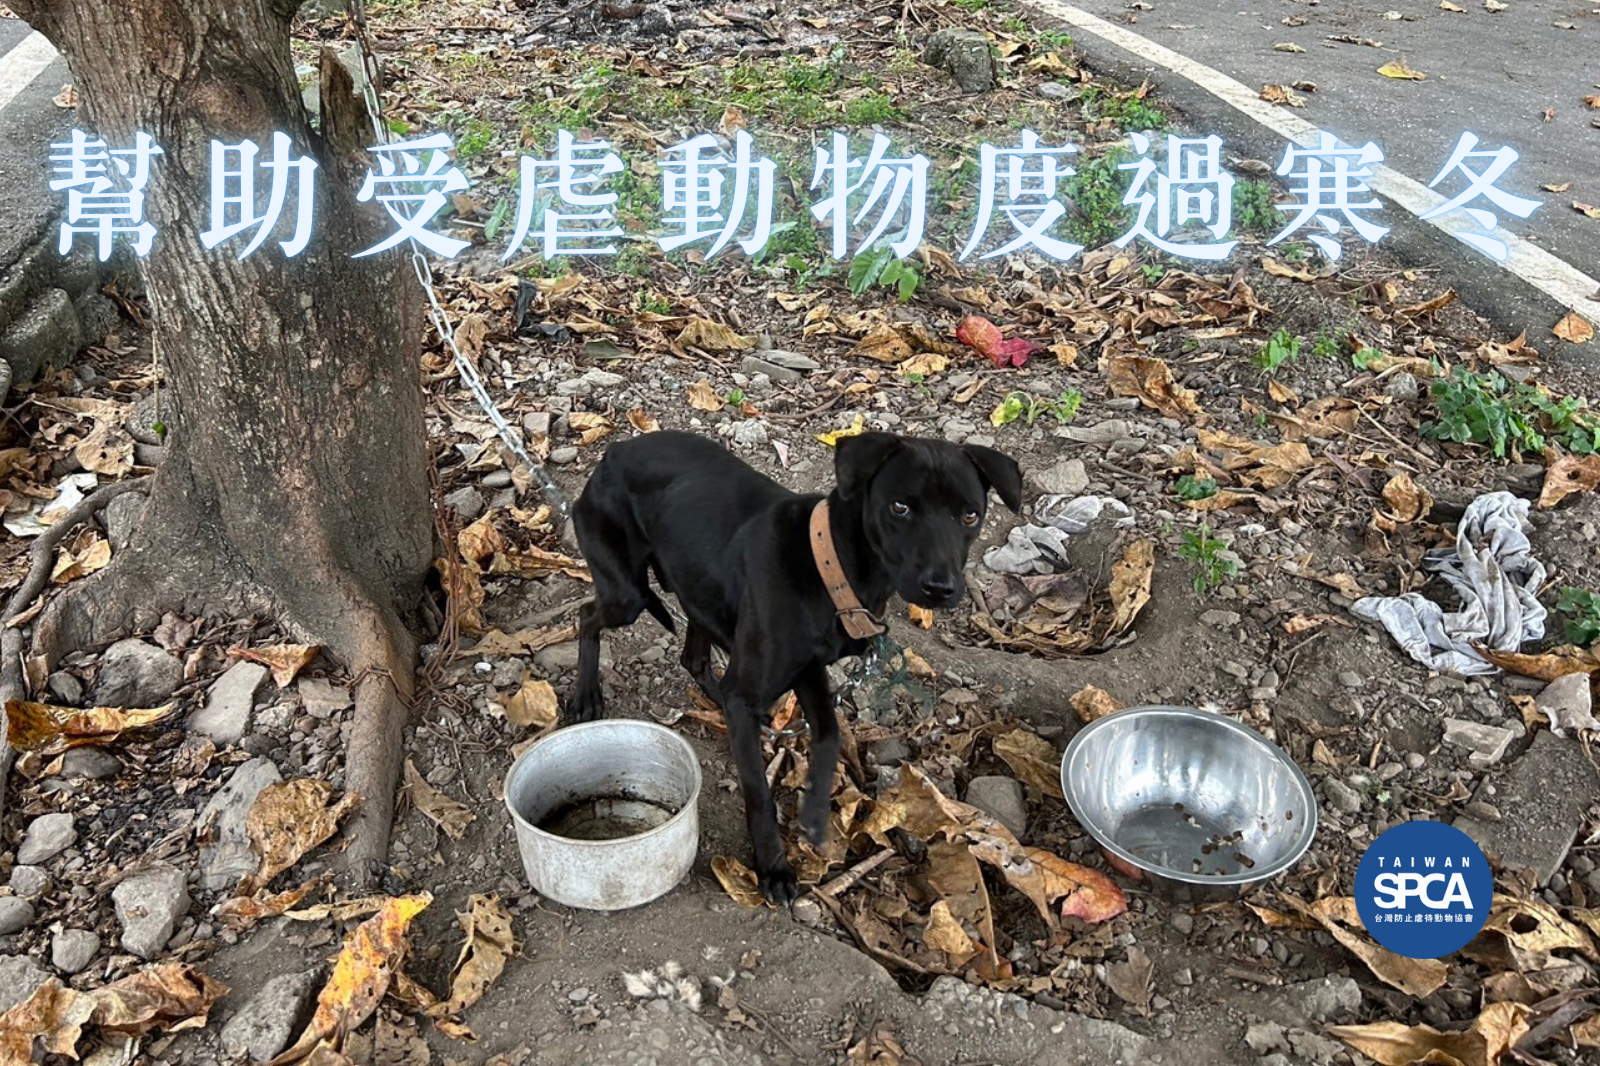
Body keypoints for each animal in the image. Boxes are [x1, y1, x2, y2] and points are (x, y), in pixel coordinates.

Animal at [563, 428, 1017, 902]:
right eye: (900, 507)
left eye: (969, 515)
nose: (941, 588)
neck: (827, 565)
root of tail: (614, 451)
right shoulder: (774, 682)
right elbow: (758, 792)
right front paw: (773, 867)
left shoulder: (808, 672)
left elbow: (830, 735)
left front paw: (815, 814)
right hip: (627, 595)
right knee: (588, 616)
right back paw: (586, 696)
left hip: (696, 587)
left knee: (696, 659)